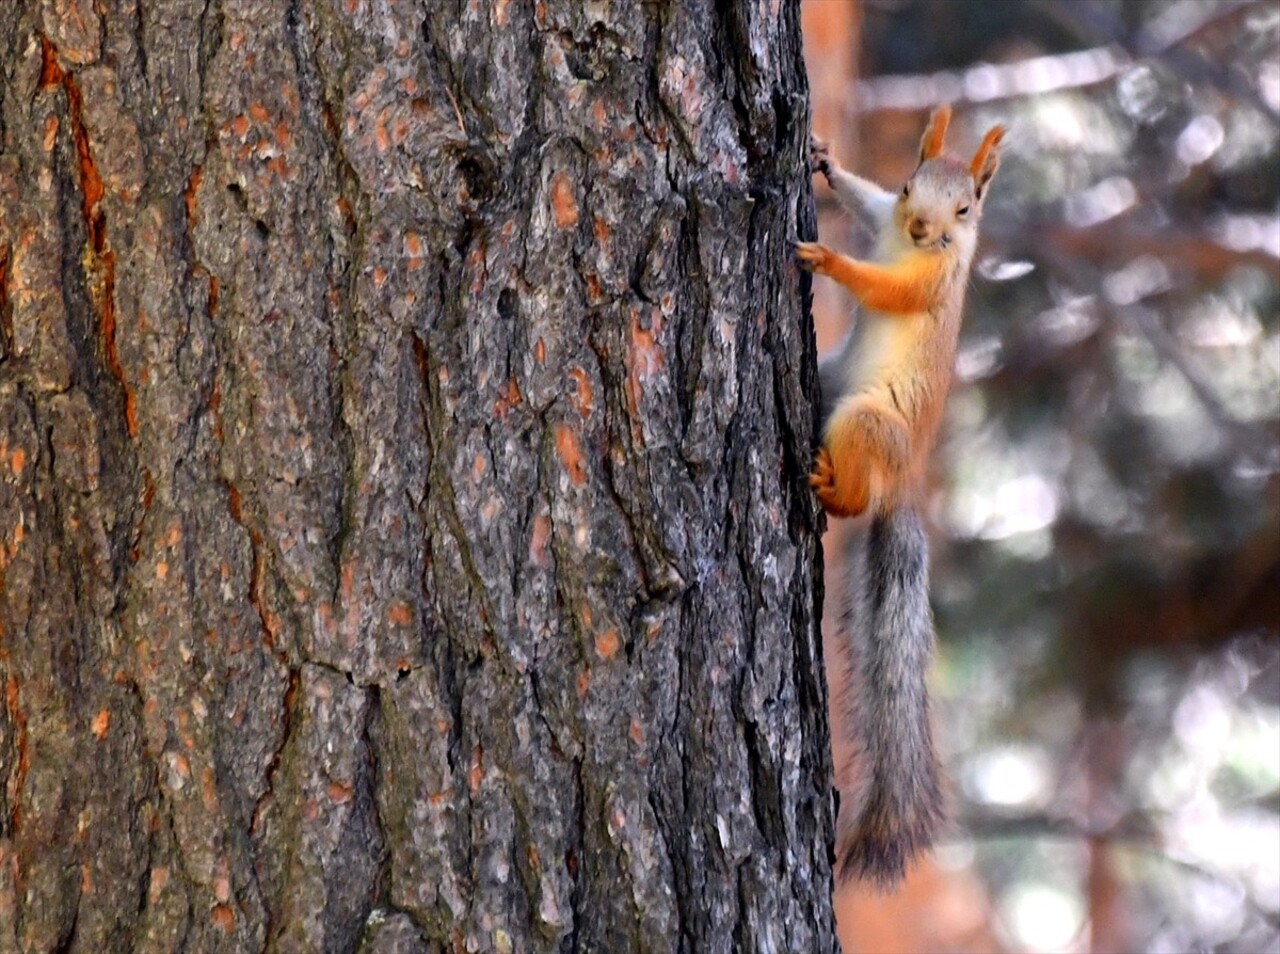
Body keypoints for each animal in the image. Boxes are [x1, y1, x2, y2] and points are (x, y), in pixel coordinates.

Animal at [793, 106, 1003, 886]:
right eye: (911, 183)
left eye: (966, 209)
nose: (920, 229)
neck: (905, 243)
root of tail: (905, 483)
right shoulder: (883, 212)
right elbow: (862, 198)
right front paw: (824, 162)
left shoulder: (930, 281)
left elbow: (884, 289)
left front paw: (829, 262)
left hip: (866, 424)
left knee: (855, 501)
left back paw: (829, 487)